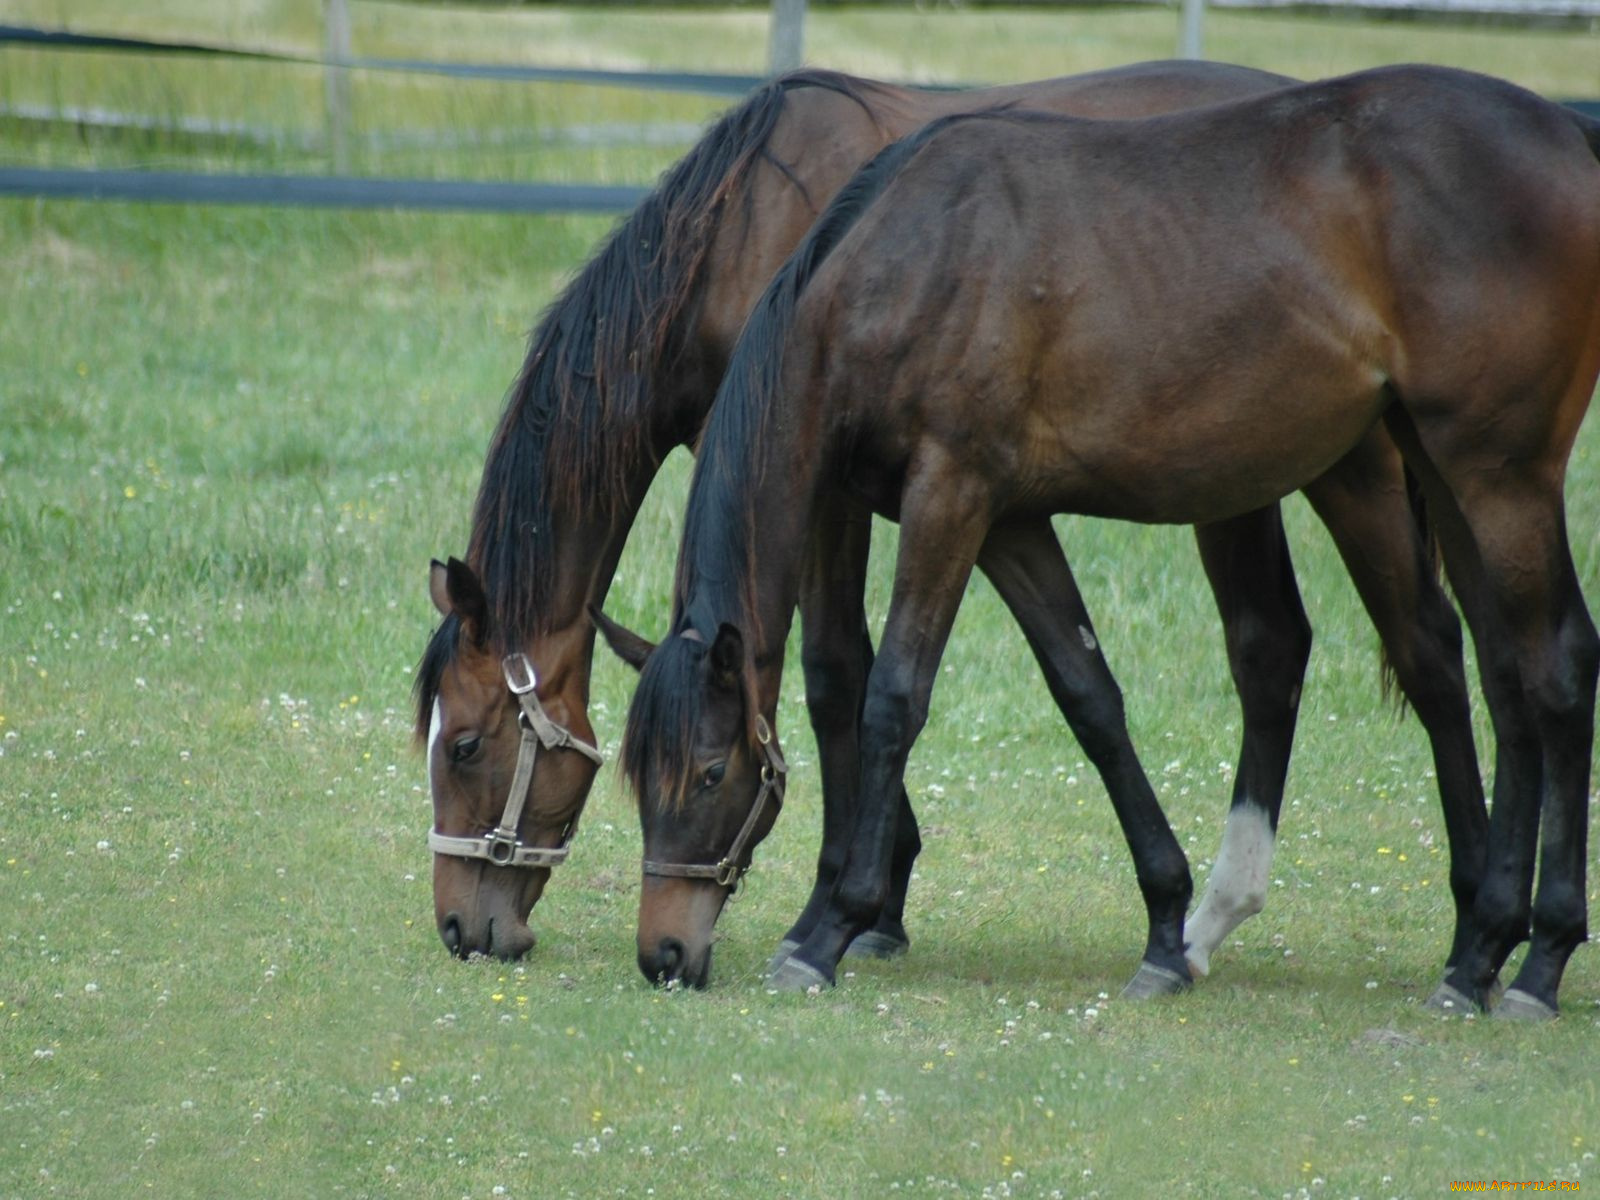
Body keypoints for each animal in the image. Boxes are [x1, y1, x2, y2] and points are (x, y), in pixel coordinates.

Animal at [416, 61, 1484, 992]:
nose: (464, 927)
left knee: (1304, 649)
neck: (742, 230)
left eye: (464, 746)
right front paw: (874, 893)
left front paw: (853, 900)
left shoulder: (839, 495)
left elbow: (838, 677)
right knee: (1285, 647)